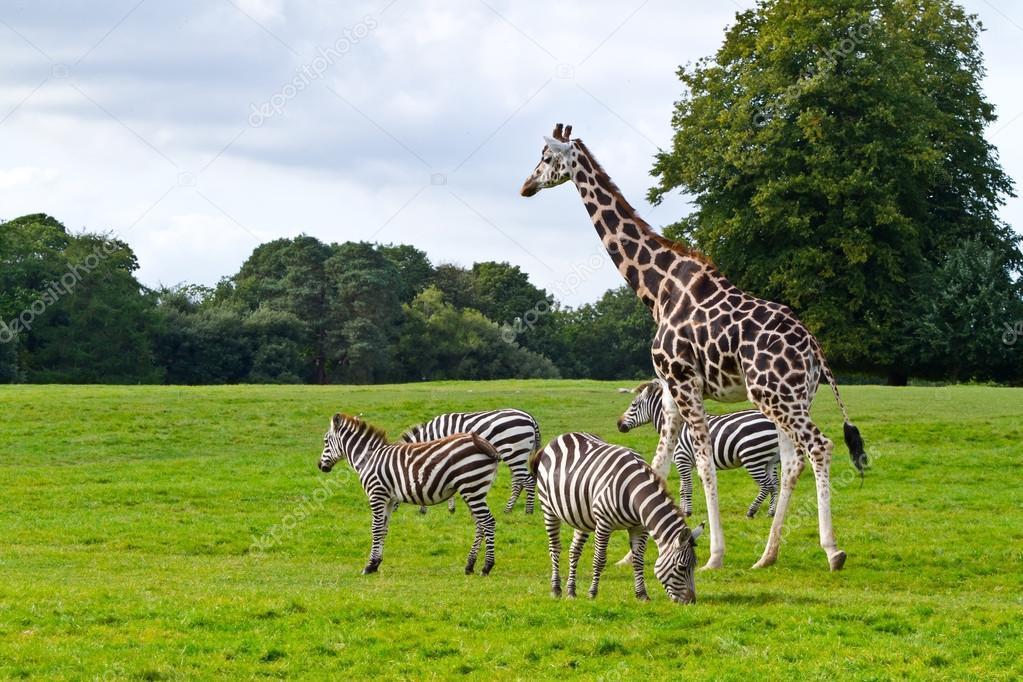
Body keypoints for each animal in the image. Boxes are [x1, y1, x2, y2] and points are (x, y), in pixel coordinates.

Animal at [315, 411, 499, 576]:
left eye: (325, 441)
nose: (320, 466)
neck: (368, 458)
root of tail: (485, 443)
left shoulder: (376, 494)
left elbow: (375, 529)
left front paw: (369, 566)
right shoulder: (388, 499)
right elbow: (384, 529)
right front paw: (376, 564)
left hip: (472, 487)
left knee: (488, 522)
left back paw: (486, 567)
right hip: (473, 489)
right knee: (480, 524)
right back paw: (470, 566)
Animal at [401, 408, 544, 515]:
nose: (421, 512)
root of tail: (530, 418)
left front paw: (450, 508)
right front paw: (451, 507)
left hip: (514, 453)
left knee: (528, 481)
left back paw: (528, 511)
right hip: (518, 455)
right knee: (518, 482)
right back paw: (508, 509)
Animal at [527, 431, 703, 601]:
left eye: (694, 566)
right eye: (681, 567)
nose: (691, 601)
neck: (633, 493)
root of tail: (558, 438)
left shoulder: (638, 526)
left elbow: (638, 560)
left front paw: (642, 594)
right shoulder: (604, 523)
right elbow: (599, 559)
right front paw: (592, 593)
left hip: (583, 517)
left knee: (574, 550)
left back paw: (571, 591)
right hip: (548, 508)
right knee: (555, 548)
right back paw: (556, 589)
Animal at [613, 382, 781, 519]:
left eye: (634, 404)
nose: (618, 424)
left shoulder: (683, 459)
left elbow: (687, 488)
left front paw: (687, 512)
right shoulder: (683, 462)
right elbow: (682, 488)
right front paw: (682, 510)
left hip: (752, 458)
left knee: (766, 485)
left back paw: (751, 511)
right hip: (770, 460)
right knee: (775, 485)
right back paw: (771, 512)